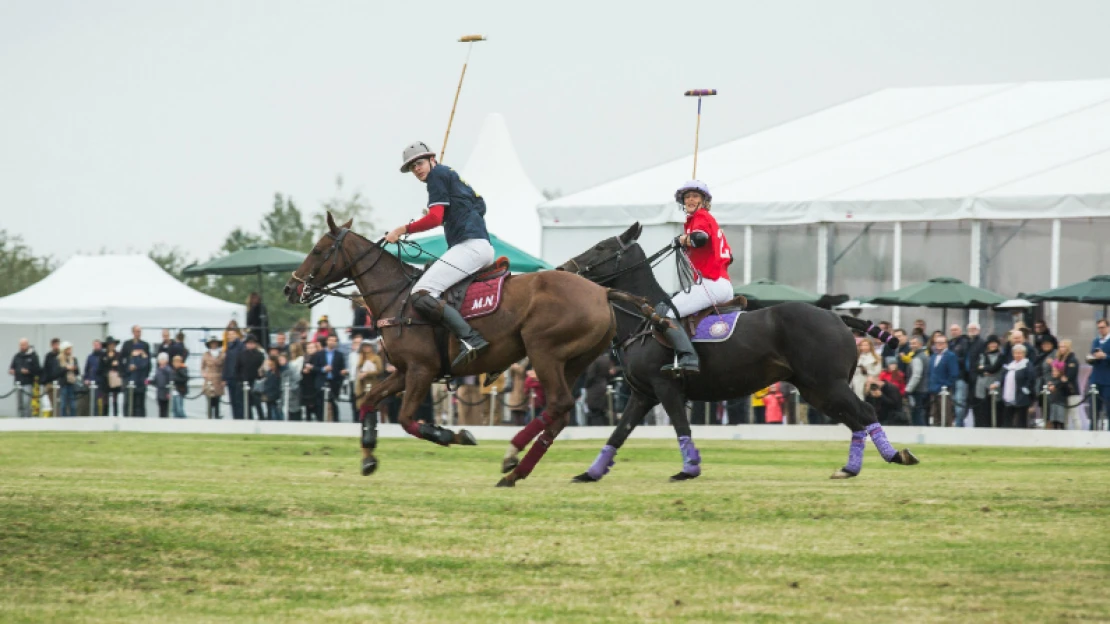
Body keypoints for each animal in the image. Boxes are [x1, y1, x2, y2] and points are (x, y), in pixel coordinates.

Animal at [284, 210, 617, 484]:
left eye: (317, 250)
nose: (291, 288)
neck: (397, 297)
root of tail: (603, 293)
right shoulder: (404, 371)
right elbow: (369, 400)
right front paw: (368, 458)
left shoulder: (422, 370)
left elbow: (406, 419)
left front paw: (453, 434)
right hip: (572, 362)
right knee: (560, 413)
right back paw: (515, 473)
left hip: (543, 352)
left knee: (559, 403)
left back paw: (511, 455)